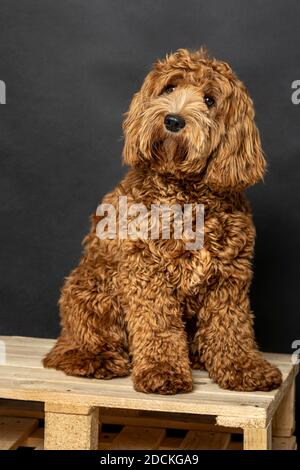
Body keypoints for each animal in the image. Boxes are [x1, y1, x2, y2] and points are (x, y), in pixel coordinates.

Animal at [43, 46, 282, 392]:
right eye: (169, 88)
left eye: (209, 100)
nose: (173, 119)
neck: (186, 193)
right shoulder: (147, 272)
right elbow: (158, 325)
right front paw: (163, 371)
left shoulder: (229, 276)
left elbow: (231, 326)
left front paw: (244, 367)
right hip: (89, 291)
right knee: (72, 347)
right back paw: (95, 358)